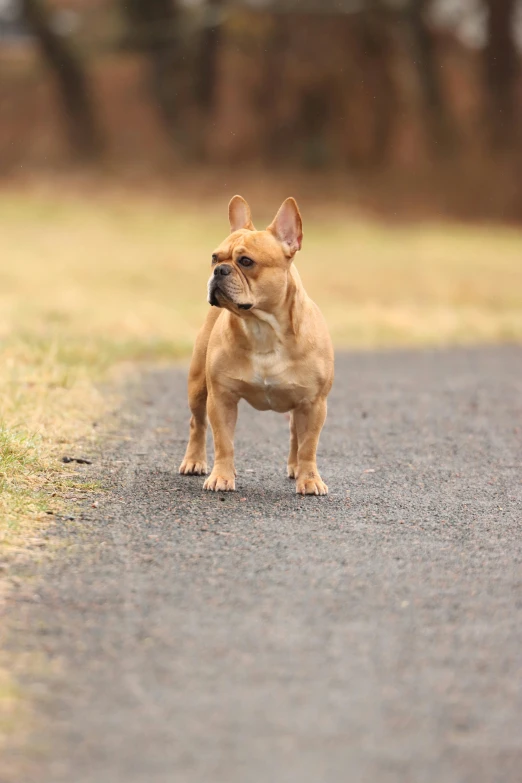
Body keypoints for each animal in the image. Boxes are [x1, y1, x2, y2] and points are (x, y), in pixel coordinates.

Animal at [179, 199, 334, 500]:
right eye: (215, 257)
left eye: (246, 261)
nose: (219, 270)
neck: (262, 328)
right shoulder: (221, 398)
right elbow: (224, 442)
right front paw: (222, 476)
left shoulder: (314, 403)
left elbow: (309, 445)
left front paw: (309, 480)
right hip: (198, 387)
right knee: (197, 424)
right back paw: (194, 461)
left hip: (300, 404)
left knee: (295, 434)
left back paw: (295, 468)